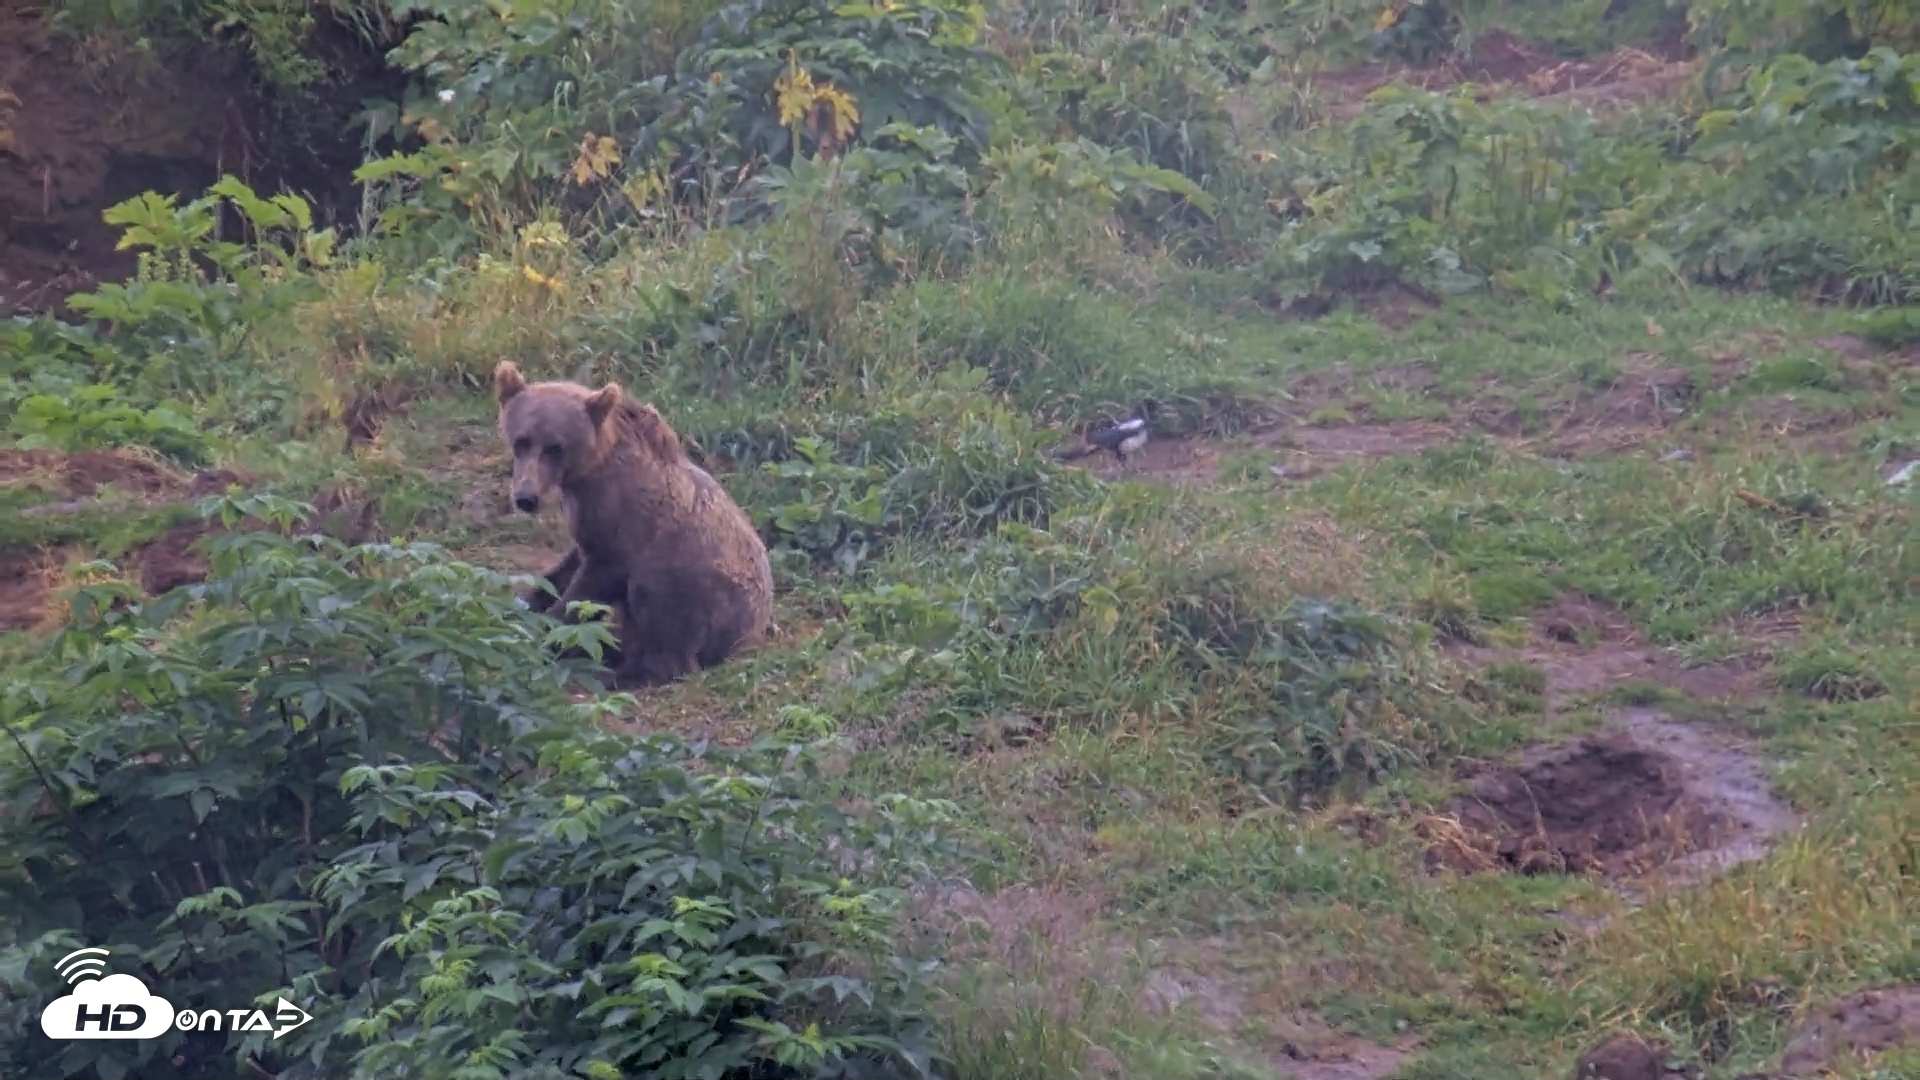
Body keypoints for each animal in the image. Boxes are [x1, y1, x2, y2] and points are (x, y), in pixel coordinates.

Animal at [493, 361, 774, 689]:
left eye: (555, 447)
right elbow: (565, 568)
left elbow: (589, 587)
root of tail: (751, 638)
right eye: (521, 441)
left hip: (701, 587)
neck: (587, 474)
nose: (526, 498)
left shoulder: (625, 530)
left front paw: (546, 633)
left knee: (666, 630)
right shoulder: (586, 520)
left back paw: (615, 672)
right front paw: (522, 606)